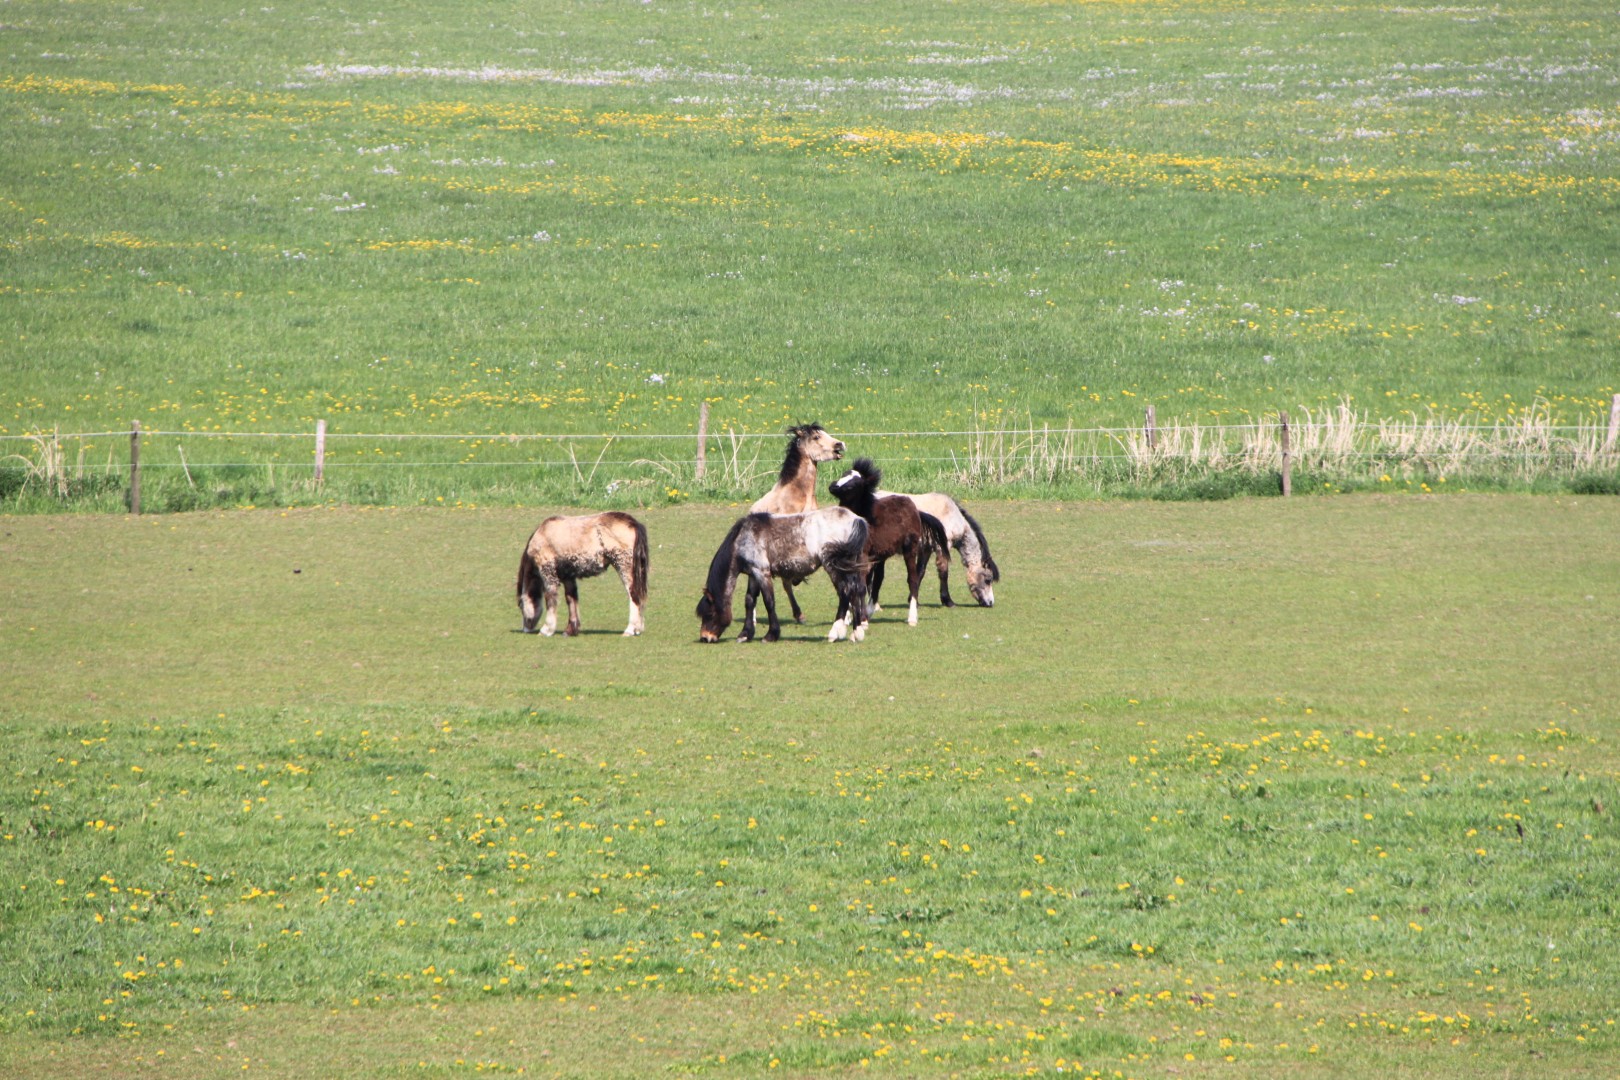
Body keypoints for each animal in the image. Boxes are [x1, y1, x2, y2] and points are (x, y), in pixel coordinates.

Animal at [516, 511, 649, 637]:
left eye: (521, 606)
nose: (525, 629)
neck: (543, 534)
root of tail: (633, 523)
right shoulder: (568, 575)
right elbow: (571, 598)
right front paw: (570, 630)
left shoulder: (548, 572)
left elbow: (550, 599)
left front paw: (546, 630)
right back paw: (637, 629)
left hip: (624, 566)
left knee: (634, 595)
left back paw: (630, 629)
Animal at [696, 508, 870, 644]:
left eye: (709, 614)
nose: (705, 637)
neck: (745, 537)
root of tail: (856, 520)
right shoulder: (753, 574)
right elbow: (749, 601)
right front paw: (745, 634)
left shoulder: (762, 572)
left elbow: (769, 602)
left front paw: (771, 635)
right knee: (855, 591)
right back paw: (856, 633)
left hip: (833, 567)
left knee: (845, 592)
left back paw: (835, 632)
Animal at [828, 459, 948, 629]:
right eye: (844, 474)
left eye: (854, 484)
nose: (833, 486)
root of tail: (915, 509)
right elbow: (850, 584)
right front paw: (847, 618)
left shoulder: (863, 556)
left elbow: (861, 586)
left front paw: (861, 621)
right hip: (881, 555)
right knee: (878, 580)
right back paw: (871, 611)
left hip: (910, 549)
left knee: (912, 579)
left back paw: (912, 617)